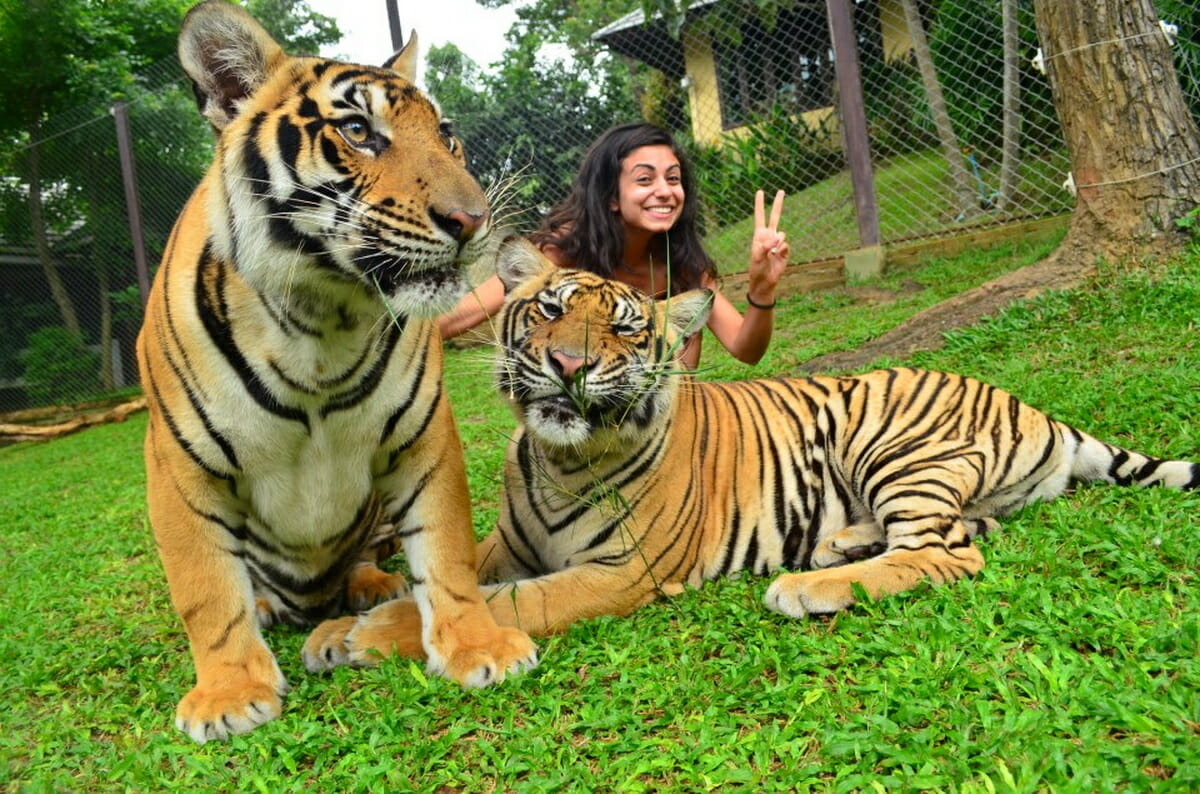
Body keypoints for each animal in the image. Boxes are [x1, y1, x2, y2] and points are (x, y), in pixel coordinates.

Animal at [136, 1, 536, 743]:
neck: (320, 318)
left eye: (447, 137)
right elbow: (205, 590)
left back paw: (373, 584)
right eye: (358, 132)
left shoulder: (422, 435)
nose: (473, 220)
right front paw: (230, 694)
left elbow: (446, 552)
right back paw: (268, 608)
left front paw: (479, 647)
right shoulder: (179, 463)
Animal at [302, 237, 1199, 665]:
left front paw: (364, 634)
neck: (561, 460)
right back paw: (841, 545)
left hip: (885, 435)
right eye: (550, 309)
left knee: (945, 554)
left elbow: (513, 602)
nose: (570, 365)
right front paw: (346, 618)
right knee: (966, 533)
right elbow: (462, 575)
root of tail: (1032, 406)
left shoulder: (619, 572)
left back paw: (809, 585)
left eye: (624, 330)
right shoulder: (508, 542)